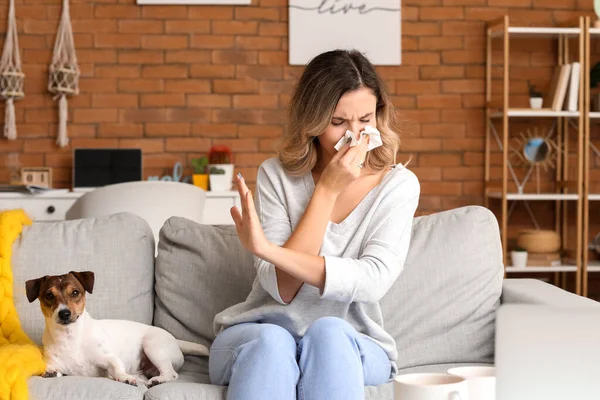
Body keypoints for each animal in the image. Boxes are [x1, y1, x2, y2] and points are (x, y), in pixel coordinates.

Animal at [25, 270, 209, 386]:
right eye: (49, 295)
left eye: (75, 292)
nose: (64, 313)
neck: (70, 337)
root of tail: (176, 341)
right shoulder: (57, 364)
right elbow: (52, 368)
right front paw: (49, 371)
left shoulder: (110, 359)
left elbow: (117, 367)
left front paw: (124, 377)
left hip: (153, 347)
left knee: (171, 373)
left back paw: (157, 380)